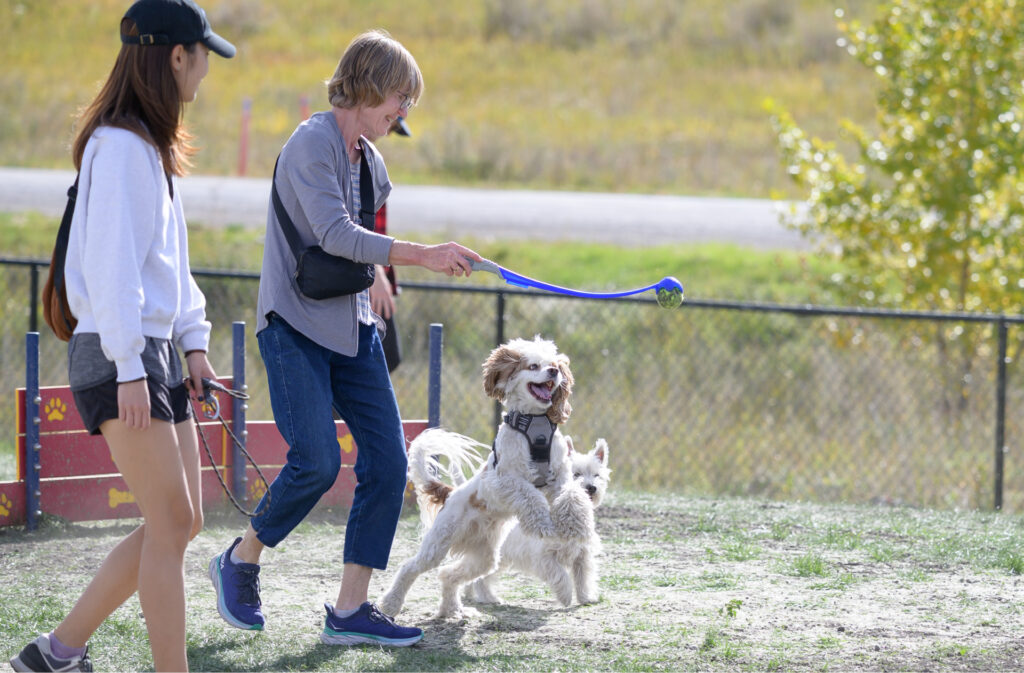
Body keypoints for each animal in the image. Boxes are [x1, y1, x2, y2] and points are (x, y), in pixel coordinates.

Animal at [380, 335, 581, 618]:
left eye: (554, 364)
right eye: (533, 366)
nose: (553, 371)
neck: (535, 424)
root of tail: (450, 493)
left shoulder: (560, 476)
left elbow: (570, 493)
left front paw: (571, 521)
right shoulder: (501, 481)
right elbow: (529, 494)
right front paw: (543, 524)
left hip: (484, 557)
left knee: (449, 574)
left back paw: (452, 610)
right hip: (438, 543)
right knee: (410, 567)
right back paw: (391, 603)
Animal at [468, 432, 610, 606]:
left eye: (597, 475)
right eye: (576, 474)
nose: (591, 487)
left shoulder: (582, 556)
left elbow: (583, 578)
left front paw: (585, 598)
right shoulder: (544, 557)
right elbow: (560, 575)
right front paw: (565, 596)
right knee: (479, 578)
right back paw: (488, 597)